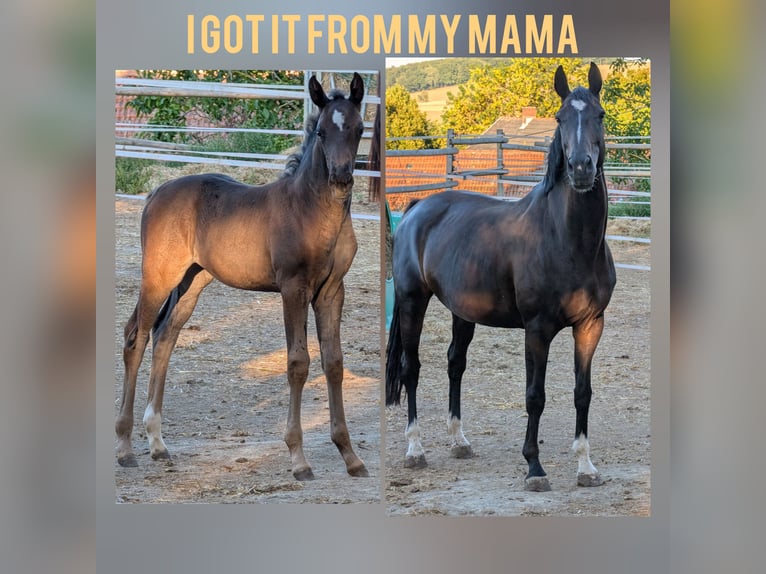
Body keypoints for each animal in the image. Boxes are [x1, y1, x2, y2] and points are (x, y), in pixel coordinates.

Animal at [116, 72, 369, 481]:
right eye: (321, 132)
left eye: (360, 128)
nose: (341, 177)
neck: (312, 212)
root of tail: (155, 193)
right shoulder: (293, 289)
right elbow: (298, 363)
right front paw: (298, 459)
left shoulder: (332, 291)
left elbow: (334, 363)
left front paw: (350, 456)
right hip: (158, 277)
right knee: (135, 337)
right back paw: (125, 448)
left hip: (192, 281)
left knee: (165, 336)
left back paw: (158, 444)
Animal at [385, 63, 616, 492]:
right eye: (560, 118)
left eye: (600, 115)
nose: (580, 169)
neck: (568, 240)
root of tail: (417, 207)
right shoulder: (537, 329)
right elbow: (535, 396)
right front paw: (534, 468)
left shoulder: (591, 324)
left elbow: (583, 392)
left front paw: (585, 466)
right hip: (411, 301)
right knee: (411, 369)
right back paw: (415, 449)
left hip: (463, 312)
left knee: (454, 364)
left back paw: (459, 441)